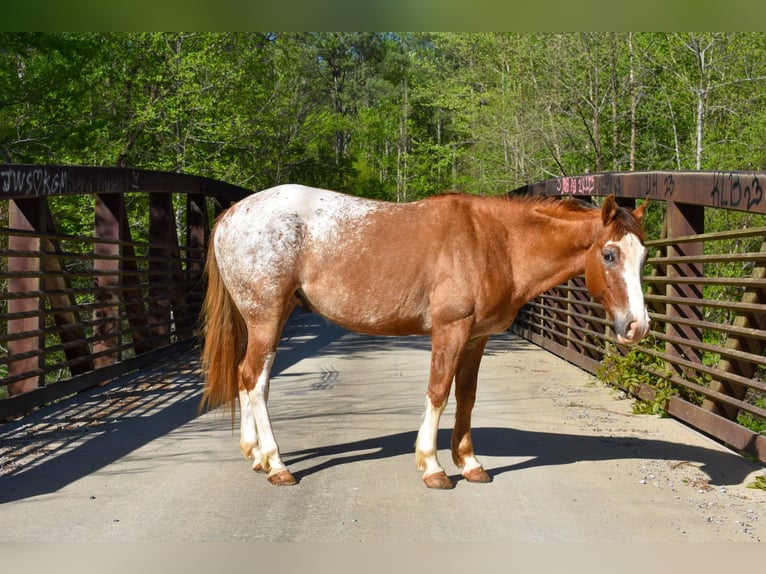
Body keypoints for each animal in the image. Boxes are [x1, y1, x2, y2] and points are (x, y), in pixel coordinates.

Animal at [201, 184, 652, 490]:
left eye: (644, 256)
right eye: (610, 254)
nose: (638, 326)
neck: (494, 242)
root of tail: (231, 215)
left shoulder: (476, 338)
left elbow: (466, 396)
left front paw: (470, 463)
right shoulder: (450, 330)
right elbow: (438, 392)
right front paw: (433, 466)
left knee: (244, 377)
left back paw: (255, 455)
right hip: (267, 318)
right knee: (255, 380)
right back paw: (277, 464)